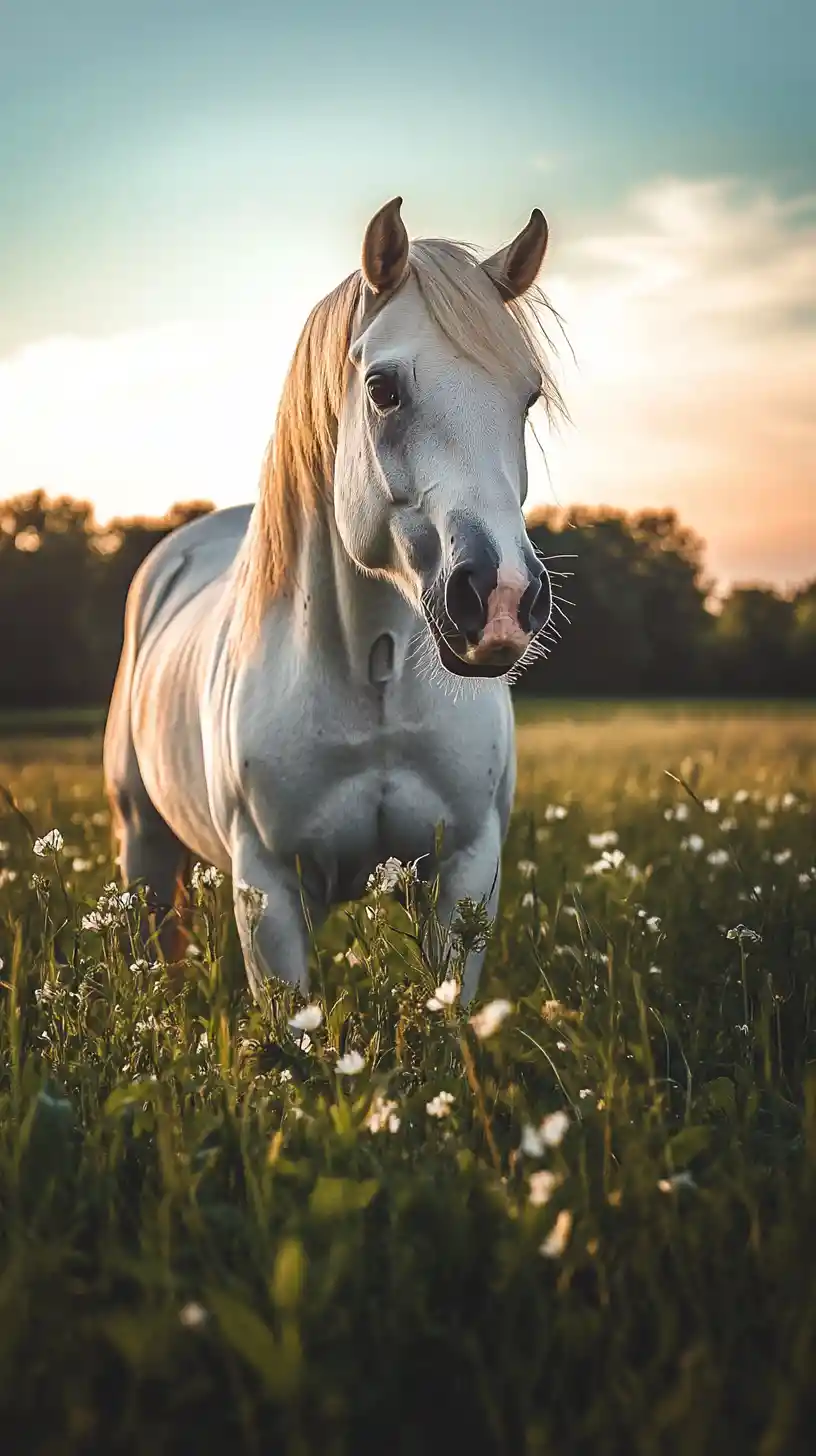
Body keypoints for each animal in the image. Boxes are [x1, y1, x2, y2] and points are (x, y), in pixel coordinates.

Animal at [103, 197, 567, 1003]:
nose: (503, 598)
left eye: (528, 396)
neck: (371, 672)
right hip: (144, 848)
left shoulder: (466, 873)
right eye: (383, 389)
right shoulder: (269, 891)